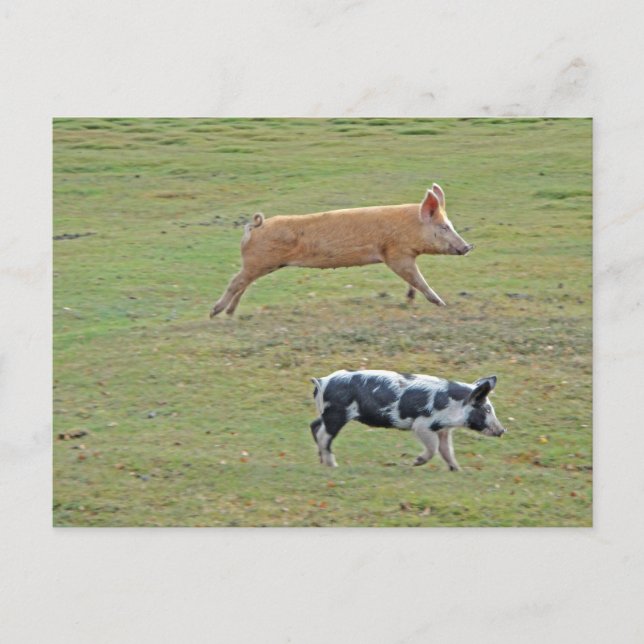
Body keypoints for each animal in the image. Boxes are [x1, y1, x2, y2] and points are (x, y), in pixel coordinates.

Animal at [210, 183, 473, 317]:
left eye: (450, 224)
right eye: (443, 226)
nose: (468, 246)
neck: (411, 229)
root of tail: (254, 227)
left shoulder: (405, 256)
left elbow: (412, 282)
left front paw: (410, 301)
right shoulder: (395, 254)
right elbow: (419, 280)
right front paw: (442, 304)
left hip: (260, 264)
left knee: (244, 284)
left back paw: (230, 313)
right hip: (258, 261)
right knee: (236, 282)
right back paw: (215, 312)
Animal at [309, 369, 506, 469]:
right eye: (487, 409)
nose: (503, 430)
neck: (453, 405)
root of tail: (322, 381)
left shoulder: (443, 429)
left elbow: (446, 450)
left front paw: (456, 469)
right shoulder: (422, 425)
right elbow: (433, 447)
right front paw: (416, 462)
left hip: (326, 413)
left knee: (314, 426)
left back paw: (322, 461)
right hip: (337, 413)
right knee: (323, 436)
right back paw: (333, 465)